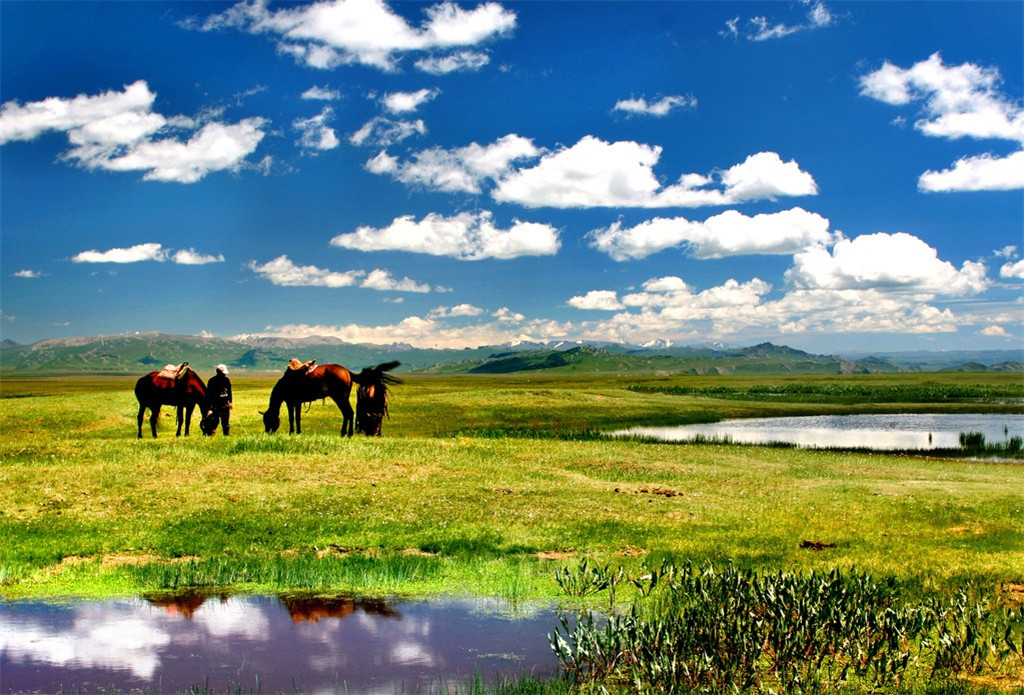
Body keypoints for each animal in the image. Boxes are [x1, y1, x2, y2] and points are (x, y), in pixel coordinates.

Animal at [264, 362, 399, 438]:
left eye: (267, 420)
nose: (267, 433)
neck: (285, 383)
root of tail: (348, 372)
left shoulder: (291, 402)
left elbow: (292, 418)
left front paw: (292, 433)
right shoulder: (297, 403)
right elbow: (297, 418)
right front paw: (298, 432)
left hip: (340, 398)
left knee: (349, 413)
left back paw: (348, 434)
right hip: (342, 398)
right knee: (347, 414)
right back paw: (344, 433)